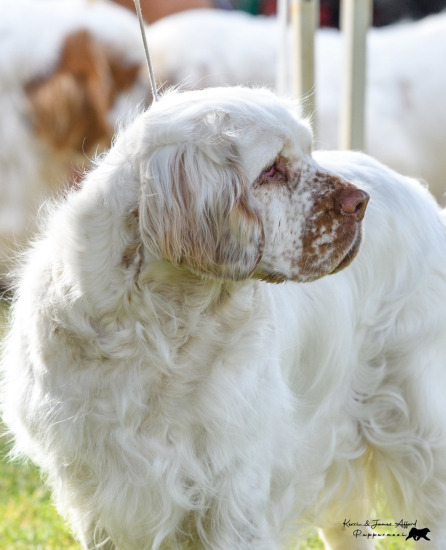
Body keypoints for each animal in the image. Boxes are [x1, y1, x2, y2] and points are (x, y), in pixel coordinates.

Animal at [0, 88, 446, 548]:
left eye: (309, 152)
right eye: (271, 170)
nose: (360, 203)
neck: (157, 326)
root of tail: (416, 189)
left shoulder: (233, 492)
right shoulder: (99, 500)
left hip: (420, 435)